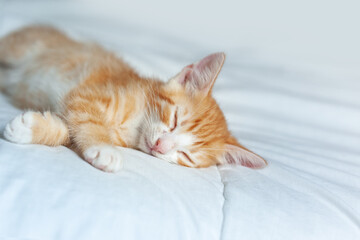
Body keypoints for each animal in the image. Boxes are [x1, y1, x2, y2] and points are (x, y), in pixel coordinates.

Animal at [0, 25, 266, 172]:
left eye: (187, 156)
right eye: (175, 119)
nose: (160, 146)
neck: (135, 125)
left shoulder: (75, 102)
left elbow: (69, 130)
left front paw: (29, 128)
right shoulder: (86, 94)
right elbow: (90, 122)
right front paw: (104, 148)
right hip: (17, 48)